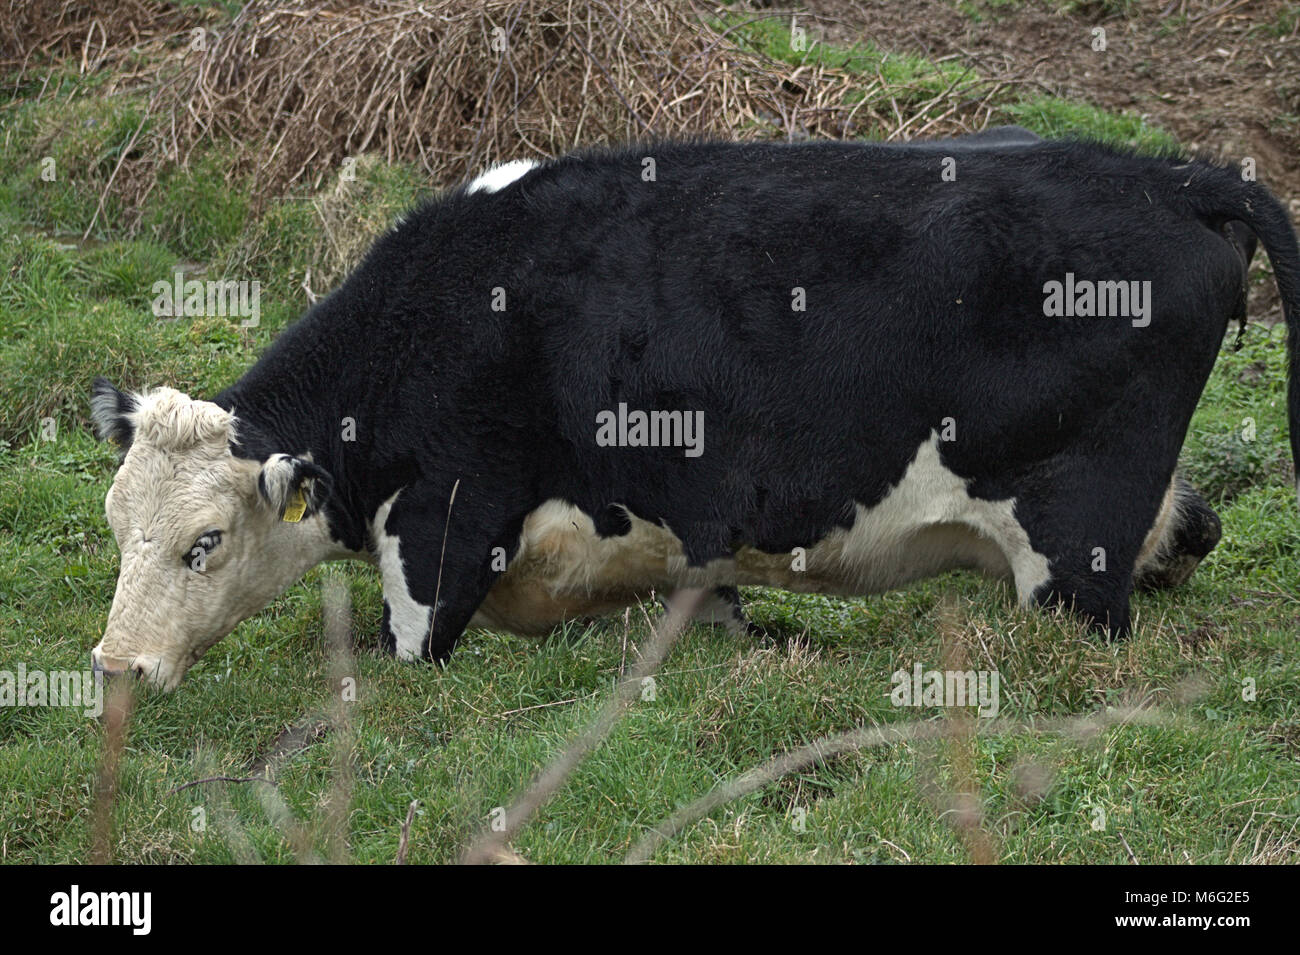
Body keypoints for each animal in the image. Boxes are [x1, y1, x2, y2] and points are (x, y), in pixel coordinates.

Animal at [86, 132, 1294, 686]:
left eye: (204, 541)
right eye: (115, 523)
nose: (113, 667)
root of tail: (1172, 174)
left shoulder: (443, 525)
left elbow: (406, 649)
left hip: (1074, 553)